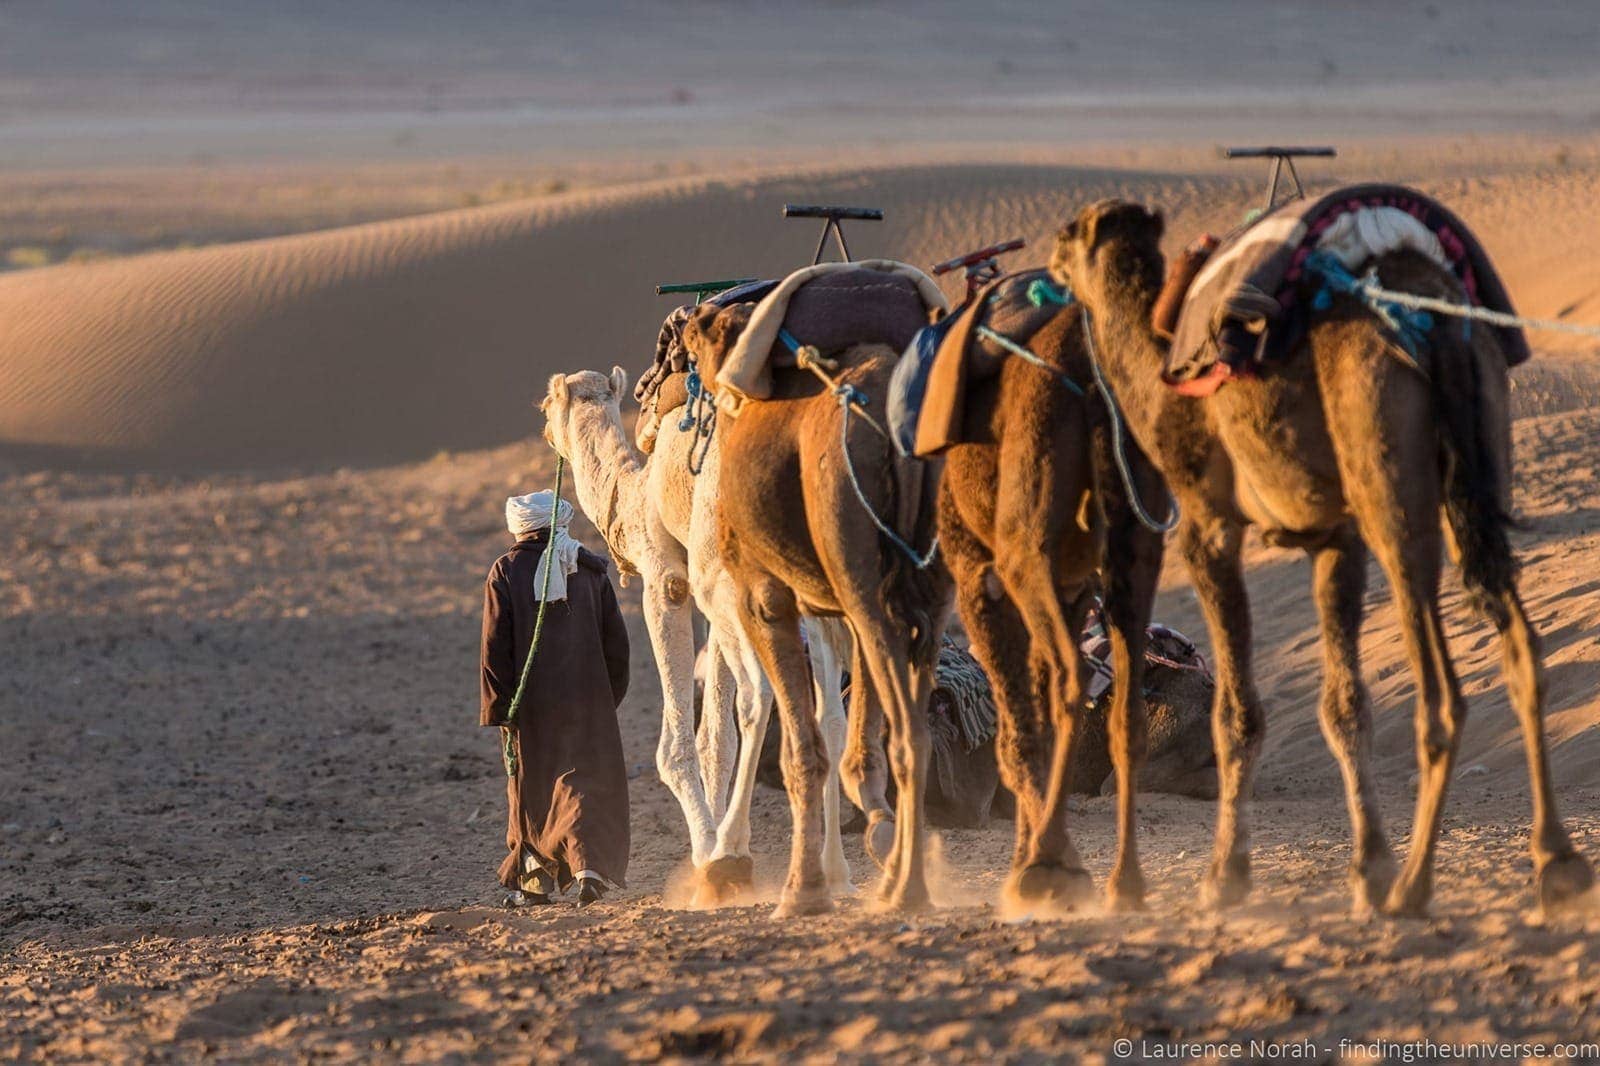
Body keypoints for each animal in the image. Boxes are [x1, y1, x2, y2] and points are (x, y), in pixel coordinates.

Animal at [540, 364, 864, 896]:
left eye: (547, 404)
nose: (546, 430)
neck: (635, 493)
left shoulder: (669, 579)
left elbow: (679, 743)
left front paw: (710, 854)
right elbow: (716, 735)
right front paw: (715, 845)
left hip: (731, 575)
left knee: (758, 696)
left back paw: (734, 854)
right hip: (804, 587)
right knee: (831, 716)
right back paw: (835, 872)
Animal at [678, 299, 947, 915]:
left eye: (700, 337)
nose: (686, 321)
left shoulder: (765, 597)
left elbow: (802, 746)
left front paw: (802, 893)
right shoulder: (835, 606)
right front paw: (870, 832)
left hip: (860, 573)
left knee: (905, 732)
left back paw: (906, 889)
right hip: (932, 586)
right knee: (914, 726)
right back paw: (900, 879)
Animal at [934, 294, 1171, 909]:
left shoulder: (979, 583)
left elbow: (1018, 733)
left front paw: (1041, 861)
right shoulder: (1073, 590)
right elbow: (1034, 723)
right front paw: (1040, 852)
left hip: (1026, 545)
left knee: (1073, 678)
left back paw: (1048, 867)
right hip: (1134, 540)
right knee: (1127, 708)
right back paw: (1125, 882)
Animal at [1056, 196, 1593, 915]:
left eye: (1073, 234)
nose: (1051, 261)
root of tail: (1432, 315)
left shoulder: (1207, 520)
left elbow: (1234, 711)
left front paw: (1219, 877)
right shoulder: (1331, 536)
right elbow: (1344, 702)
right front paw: (1367, 868)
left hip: (1386, 464)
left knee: (1440, 686)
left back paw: (1416, 887)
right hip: (1478, 473)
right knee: (1520, 648)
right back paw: (1555, 863)